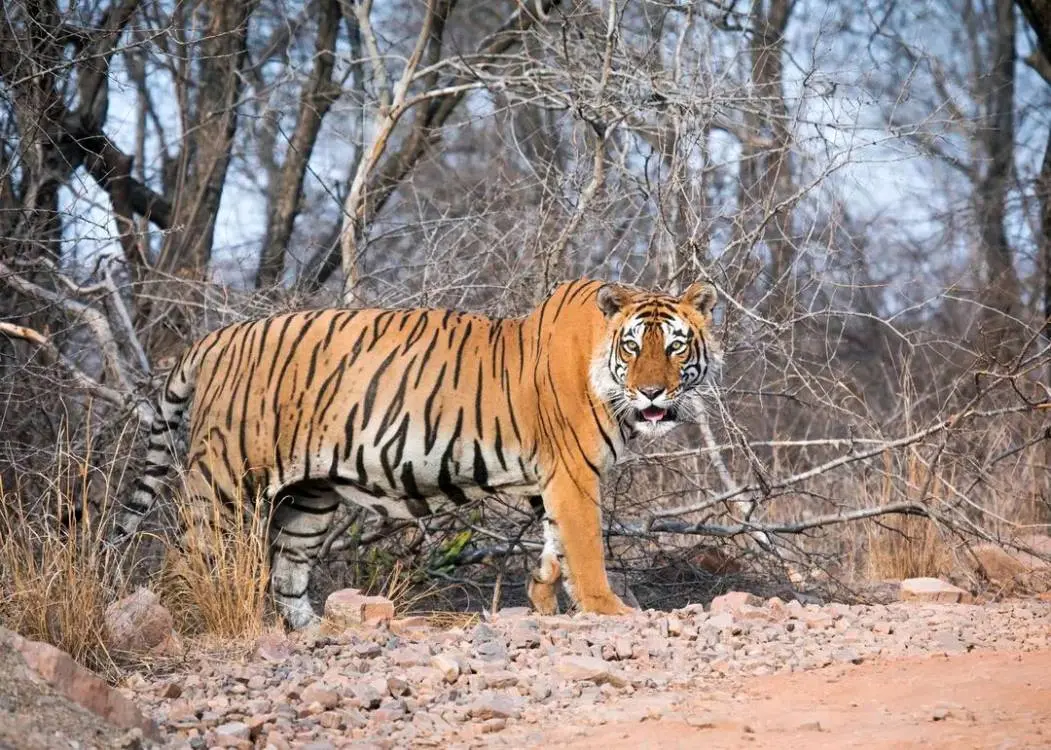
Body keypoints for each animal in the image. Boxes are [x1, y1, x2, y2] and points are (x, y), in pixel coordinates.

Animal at [113, 278, 721, 628]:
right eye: (633, 346)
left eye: (676, 347)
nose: (652, 393)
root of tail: (214, 338)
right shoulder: (574, 472)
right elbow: (587, 547)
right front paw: (608, 610)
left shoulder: (553, 482)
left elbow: (554, 545)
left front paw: (544, 599)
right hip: (225, 481)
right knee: (183, 559)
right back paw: (190, 625)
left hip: (309, 499)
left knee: (287, 574)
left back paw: (318, 633)